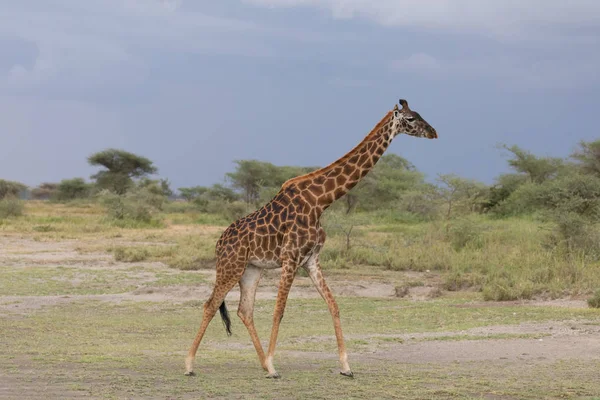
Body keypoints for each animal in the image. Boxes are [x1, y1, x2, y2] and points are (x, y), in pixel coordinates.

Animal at [185, 99, 438, 378]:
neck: (321, 202)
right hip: (231, 266)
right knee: (210, 304)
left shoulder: (311, 260)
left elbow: (333, 305)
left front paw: (346, 367)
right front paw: (274, 364)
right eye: (411, 118)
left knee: (245, 311)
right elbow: (279, 311)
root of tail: (219, 243)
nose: (434, 132)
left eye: (419, 114)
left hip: (251, 269)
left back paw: (262, 364)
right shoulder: (291, 258)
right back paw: (190, 365)